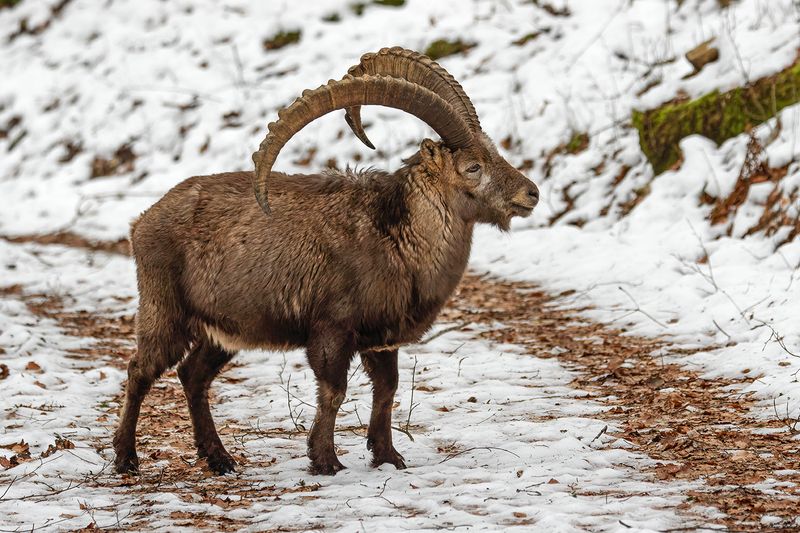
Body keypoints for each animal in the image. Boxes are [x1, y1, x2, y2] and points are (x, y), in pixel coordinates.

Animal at [113, 47, 539, 476]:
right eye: (473, 167)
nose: (531, 193)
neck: (397, 237)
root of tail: (143, 220)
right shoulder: (332, 330)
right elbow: (334, 391)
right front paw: (326, 460)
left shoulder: (380, 338)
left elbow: (387, 390)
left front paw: (388, 456)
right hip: (165, 310)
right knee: (140, 369)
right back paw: (126, 457)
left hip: (224, 329)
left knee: (192, 374)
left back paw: (218, 458)